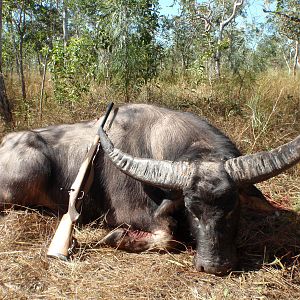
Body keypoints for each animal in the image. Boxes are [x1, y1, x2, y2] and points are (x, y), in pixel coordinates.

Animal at [0, 104, 298, 276]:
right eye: (191, 209)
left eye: (233, 206)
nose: (215, 266)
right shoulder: (130, 213)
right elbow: (166, 234)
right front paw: (116, 237)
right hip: (31, 171)